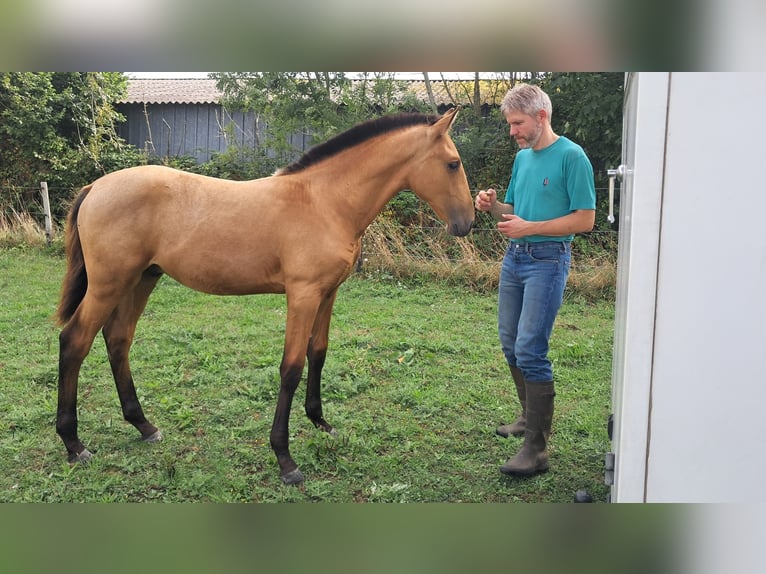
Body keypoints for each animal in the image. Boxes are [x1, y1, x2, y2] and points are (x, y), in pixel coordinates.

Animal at [55, 107, 474, 485]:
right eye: (453, 164)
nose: (467, 223)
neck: (324, 202)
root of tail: (95, 188)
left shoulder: (328, 293)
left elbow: (318, 353)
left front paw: (320, 421)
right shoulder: (302, 294)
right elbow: (291, 368)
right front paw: (285, 459)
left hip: (142, 278)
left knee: (118, 339)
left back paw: (143, 425)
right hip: (109, 283)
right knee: (75, 341)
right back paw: (74, 444)